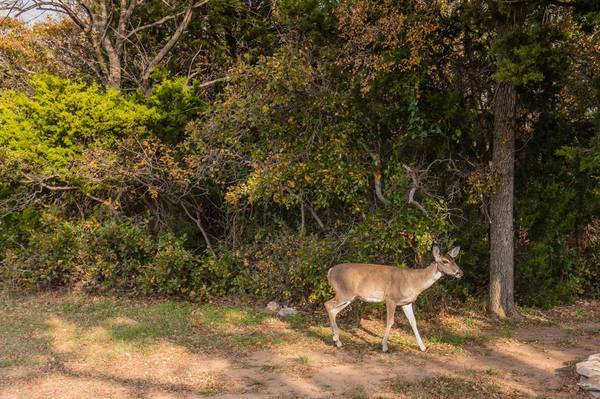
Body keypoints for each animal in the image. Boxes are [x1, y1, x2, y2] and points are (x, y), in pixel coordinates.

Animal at [326, 247, 462, 354]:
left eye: (454, 260)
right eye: (445, 261)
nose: (460, 272)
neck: (414, 282)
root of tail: (330, 271)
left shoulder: (407, 302)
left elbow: (413, 322)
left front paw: (423, 347)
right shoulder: (391, 298)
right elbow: (390, 322)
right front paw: (385, 347)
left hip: (350, 297)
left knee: (334, 310)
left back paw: (336, 340)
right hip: (344, 293)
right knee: (328, 304)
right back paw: (337, 340)